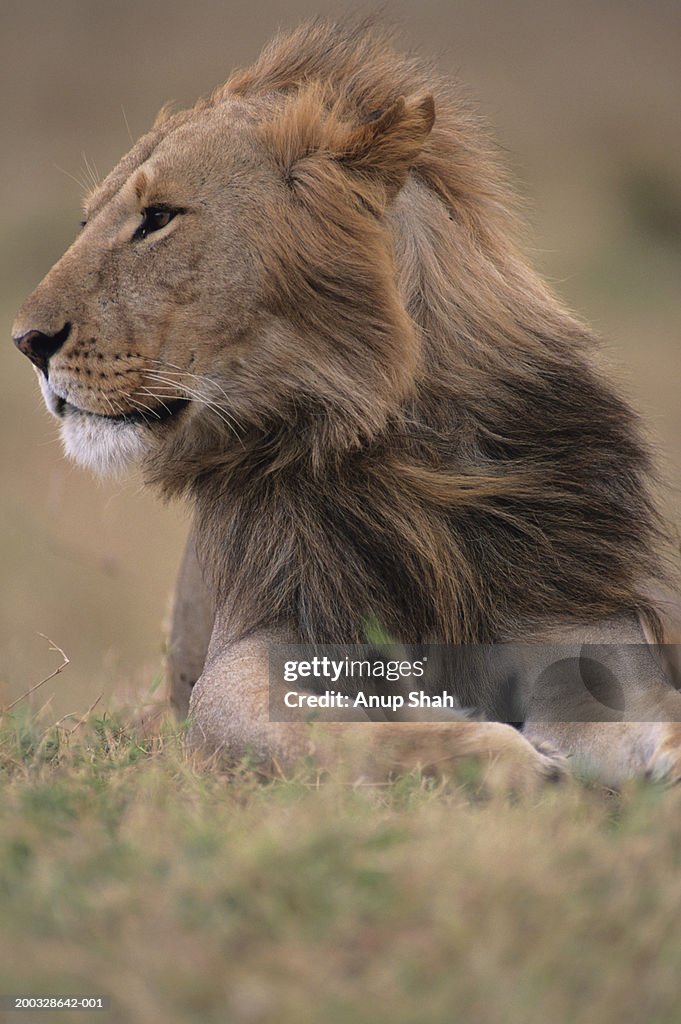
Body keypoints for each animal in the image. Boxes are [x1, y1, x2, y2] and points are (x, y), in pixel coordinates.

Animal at [11, 19, 679, 786]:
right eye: (88, 221)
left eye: (157, 218)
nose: (26, 341)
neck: (404, 462)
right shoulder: (254, 648)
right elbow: (334, 730)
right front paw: (499, 757)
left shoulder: (581, 622)